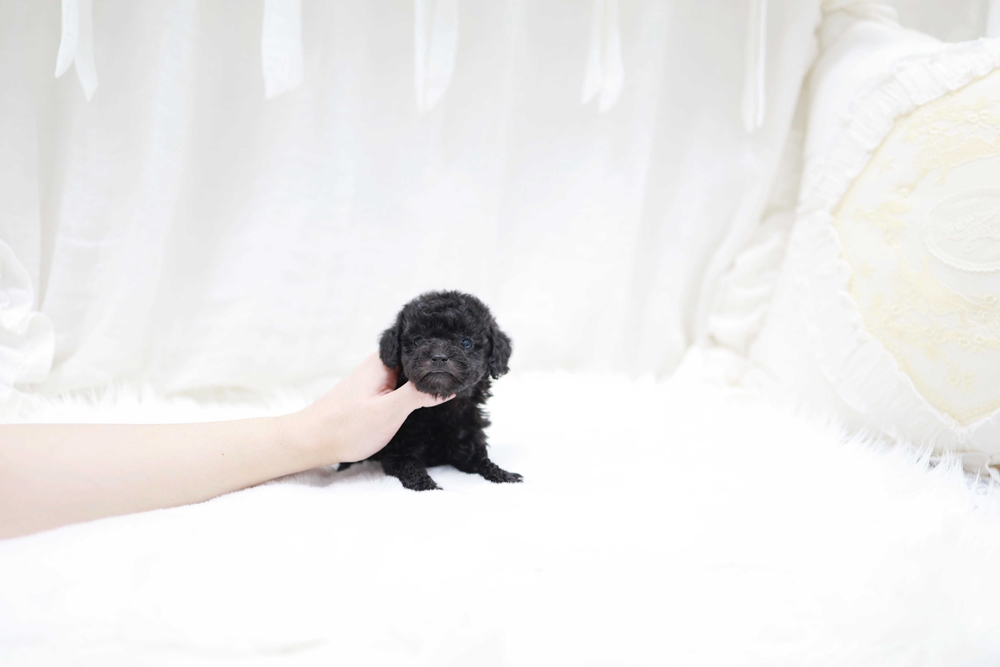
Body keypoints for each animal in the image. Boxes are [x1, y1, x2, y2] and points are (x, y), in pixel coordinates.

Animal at [340, 290, 522, 491]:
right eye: (417, 341)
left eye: (466, 342)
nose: (439, 357)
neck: (440, 408)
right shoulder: (399, 450)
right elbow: (411, 468)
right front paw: (428, 486)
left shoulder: (467, 436)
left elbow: (481, 461)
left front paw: (504, 476)